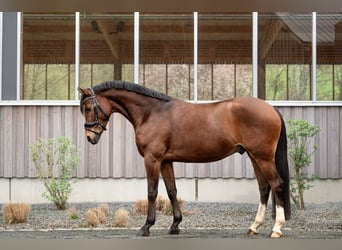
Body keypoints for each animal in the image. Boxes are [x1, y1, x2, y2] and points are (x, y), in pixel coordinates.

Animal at [78, 80, 292, 238]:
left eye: (88, 107)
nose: (89, 137)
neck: (151, 112)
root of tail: (271, 109)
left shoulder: (152, 159)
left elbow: (152, 192)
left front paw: (146, 227)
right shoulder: (165, 161)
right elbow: (172, 191)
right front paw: (175, 225)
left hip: (263, 157)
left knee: (277, 184)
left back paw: (276, 228)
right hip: (254, 156)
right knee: (264, 187)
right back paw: (254, 227)